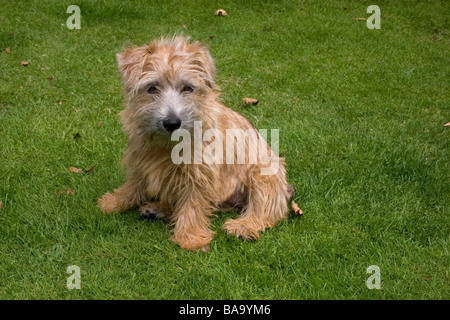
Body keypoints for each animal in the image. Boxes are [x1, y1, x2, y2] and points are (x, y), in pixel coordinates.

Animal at [98, 36, 294, 251]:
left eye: (188, 88)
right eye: (152, 88)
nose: (172, 122)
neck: (167, 146)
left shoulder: (199, 174)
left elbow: (192, 206)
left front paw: (189, 238)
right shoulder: (140, 159)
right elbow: (133, 184)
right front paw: (116, 201)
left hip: (264, 173)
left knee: (267, 209)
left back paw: (244, 225)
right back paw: (157, 208)